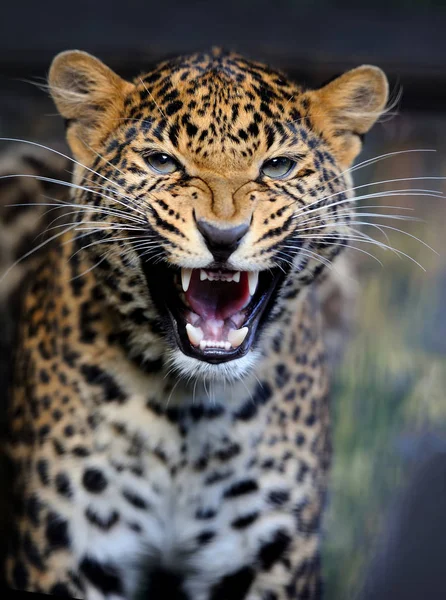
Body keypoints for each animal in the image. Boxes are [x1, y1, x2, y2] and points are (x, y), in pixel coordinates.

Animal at [1, 49, 386, 596]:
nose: (222, 236)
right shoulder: (68, 549)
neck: (187, 412)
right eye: (162, 162)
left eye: (279, 166)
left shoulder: (266, 556)